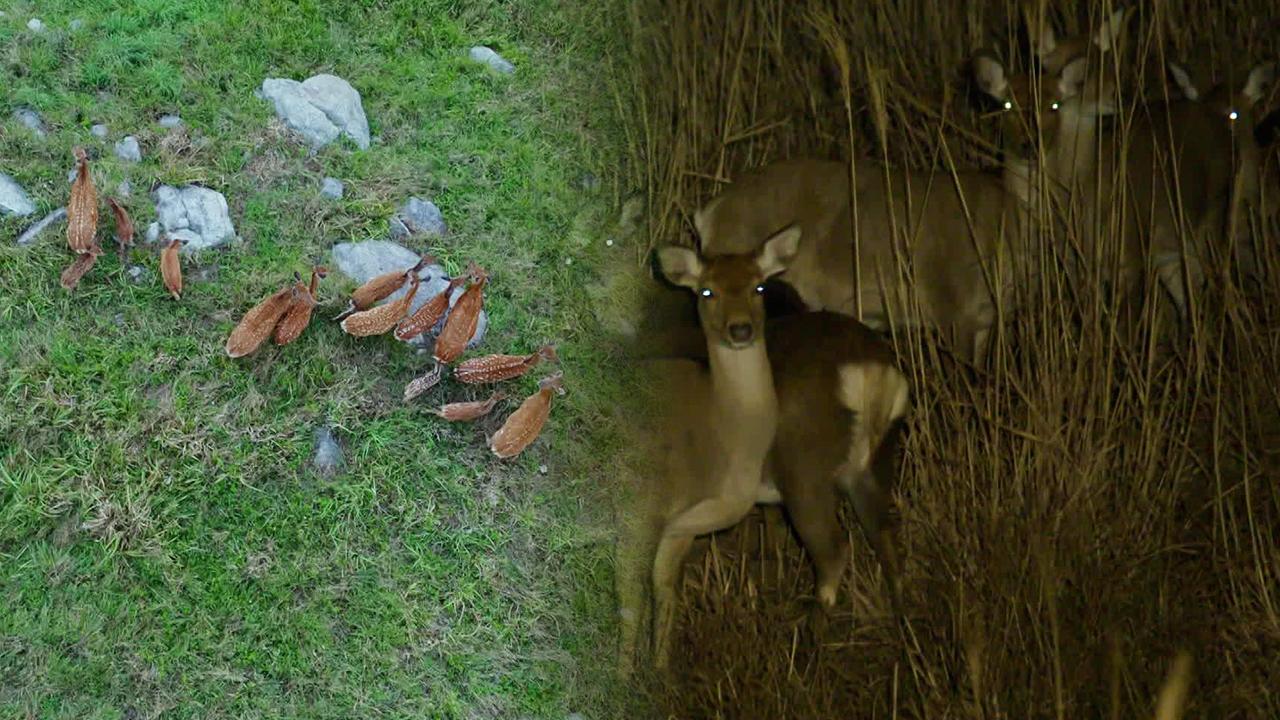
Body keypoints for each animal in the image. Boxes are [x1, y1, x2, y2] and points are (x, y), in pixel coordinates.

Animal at [616, 226, 911, 676]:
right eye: (708, 291)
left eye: (757, 286)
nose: (740, 330)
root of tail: (872, 372)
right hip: (875, 464)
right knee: (885, 538)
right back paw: (903, 635)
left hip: (805, 471)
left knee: (833, 550)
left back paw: (808, 650)